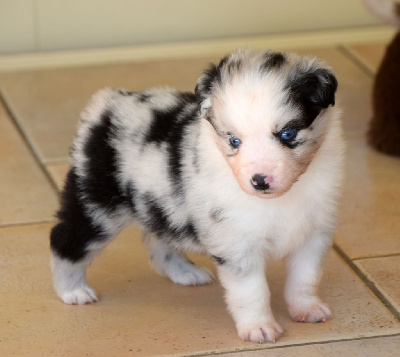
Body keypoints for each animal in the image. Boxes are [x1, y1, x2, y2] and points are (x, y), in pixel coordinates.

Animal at [50, 49, 344, 342]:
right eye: (234, 140)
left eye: (287, 134)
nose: (260, 181)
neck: (281, 199)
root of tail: (107, 102)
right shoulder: (236, 242)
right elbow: (252, 291)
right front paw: (259, 327)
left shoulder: (313, 233)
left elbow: (304, 279)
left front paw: (308, 309)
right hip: (96, 205)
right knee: (64, 239)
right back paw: (73, 291)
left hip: (161, 206)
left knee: (158, 243)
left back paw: (185, 272)